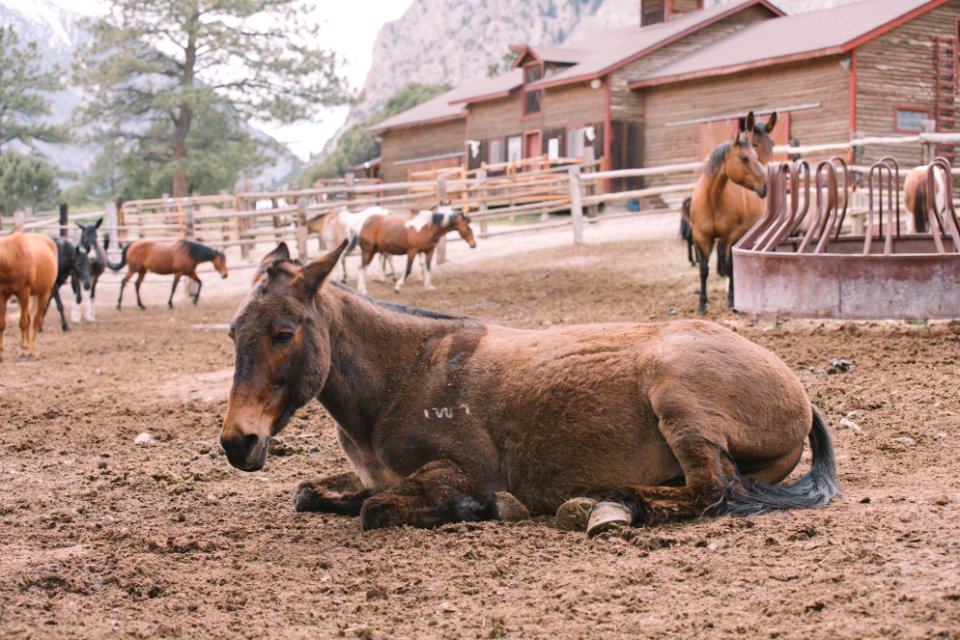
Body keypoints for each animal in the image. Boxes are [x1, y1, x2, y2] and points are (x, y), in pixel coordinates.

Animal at [0, 231, 58, 362]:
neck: (10, 257)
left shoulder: (24, 292)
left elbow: (23, 323)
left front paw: (24, 349)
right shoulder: (2, 295)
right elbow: (2, 324)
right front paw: (0, 354)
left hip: (44, 293)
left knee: (36, 320)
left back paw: (31, 349)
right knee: (30, 318)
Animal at [221, 240, 836, 536]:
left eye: (283, 333)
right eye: (232, 332)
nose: (236, 442)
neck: (405, 375)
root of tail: (799, 394)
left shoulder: (462, 471)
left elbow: (378, 509)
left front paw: (481, 509)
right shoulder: (371, 473)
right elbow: (310, 493)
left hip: (678, 398)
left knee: (711, 490)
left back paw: (614, 503)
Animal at [688, 112, 772, 312]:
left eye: (754, 155)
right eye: (744, 158)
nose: (765, 185)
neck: (713, 200)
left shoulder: (732, 236)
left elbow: (730, 266)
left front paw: (732, 301)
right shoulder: (700, 236)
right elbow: (703, 269)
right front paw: (701, 304)